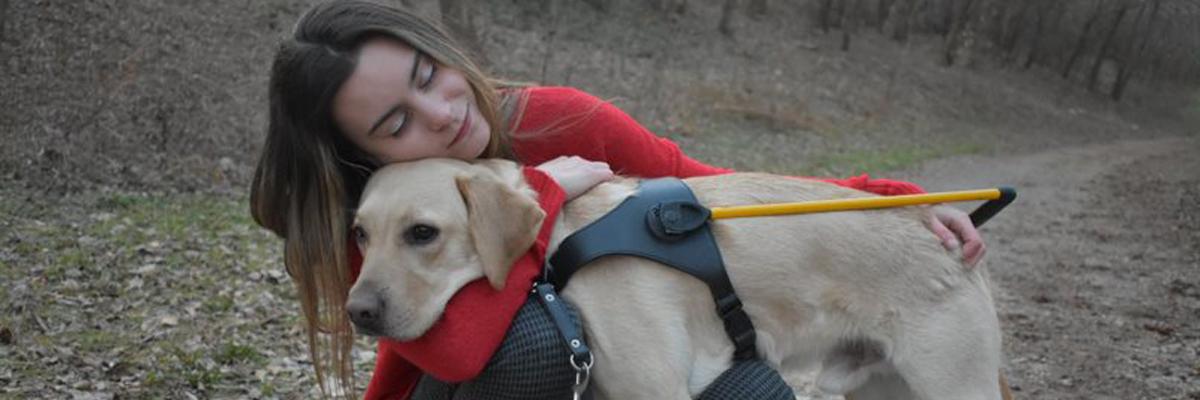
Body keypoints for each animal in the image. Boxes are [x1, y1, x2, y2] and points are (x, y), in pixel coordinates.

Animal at [350, 158, 1008, 398]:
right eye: (359, 233)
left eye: (422, 233)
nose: (357, 312)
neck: (560, 235)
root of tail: (952, 247)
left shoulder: (656, 389)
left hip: (954, 387)